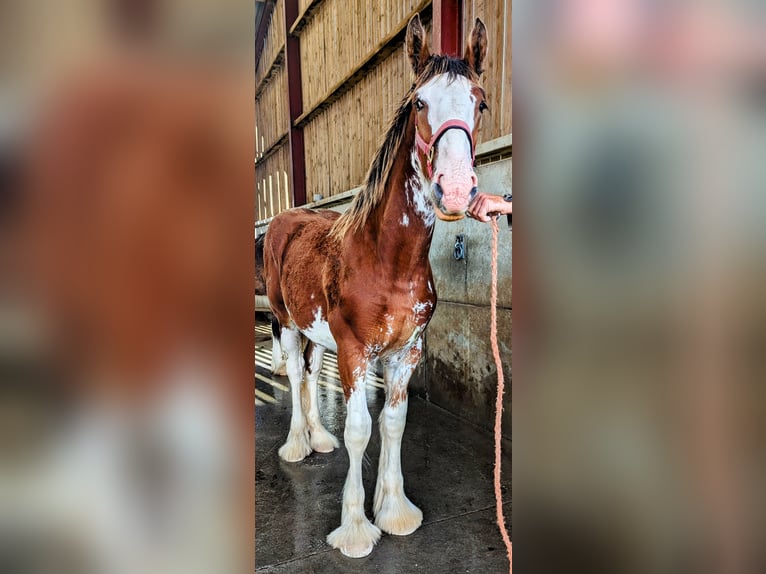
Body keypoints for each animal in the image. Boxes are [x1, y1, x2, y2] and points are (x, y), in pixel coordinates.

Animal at [260, 15, 488, 560]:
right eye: (419, 102)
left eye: (481, 103)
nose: (454, 189)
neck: (388, 262)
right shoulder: (355, 352)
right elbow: (361, 429)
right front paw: (356, 527)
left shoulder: (405, 352)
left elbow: (393, 423)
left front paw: (395, 511)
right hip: (287, 323)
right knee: (295, 377)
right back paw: (298, 445)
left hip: (316, 334)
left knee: (308, 374)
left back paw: (319, 439)